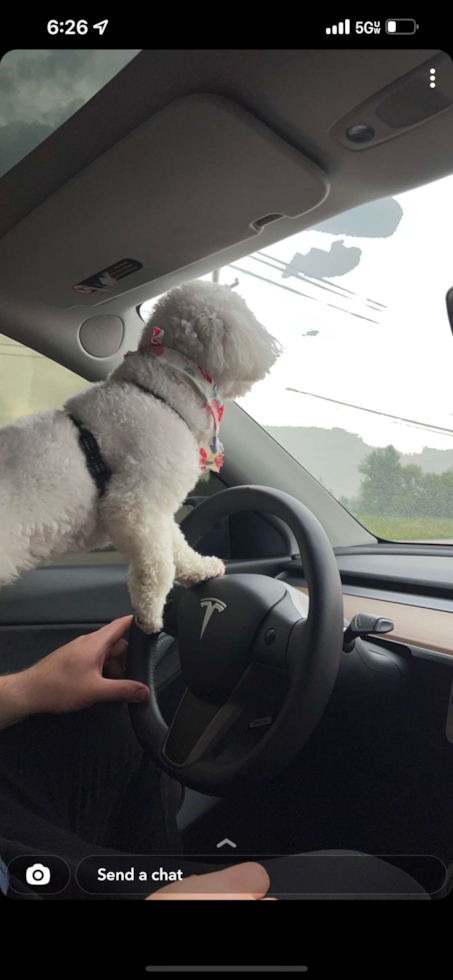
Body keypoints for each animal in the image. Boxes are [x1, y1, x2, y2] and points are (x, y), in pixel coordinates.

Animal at [0, 282, 280, 636]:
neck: (158, 393)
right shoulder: (135, 506)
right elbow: (158, 565)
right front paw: (149, 615)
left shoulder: (158, 508)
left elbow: (178, 546)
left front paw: (201, 569)